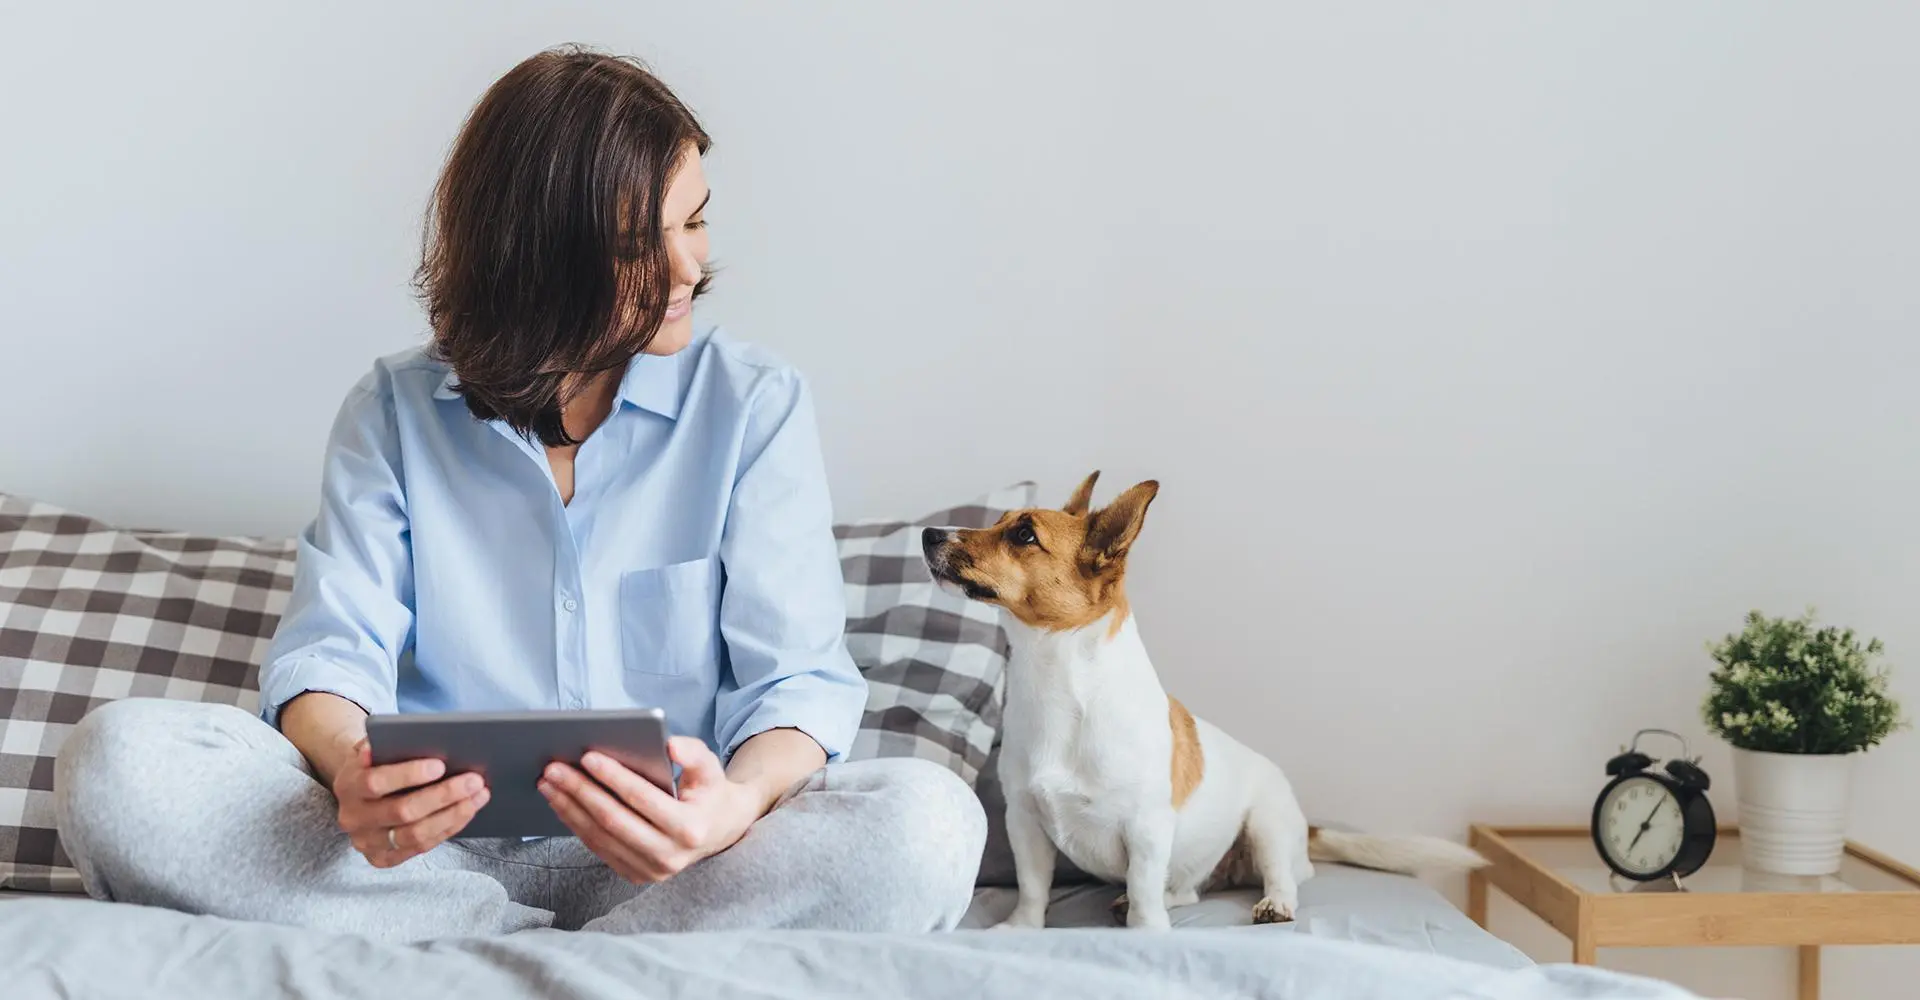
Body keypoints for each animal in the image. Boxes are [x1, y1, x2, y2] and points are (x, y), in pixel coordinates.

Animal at [921, 474, 1489, 928]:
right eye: (999, 522)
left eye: (1023, 534)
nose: (929, 534)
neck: (1058, 682)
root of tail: (1305, 825)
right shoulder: (1024, 822)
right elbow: (1034, 888)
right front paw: (1021, 928)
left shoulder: (1146, 829)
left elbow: (1145, 890)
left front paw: (1146, 933)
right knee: (1186, 890)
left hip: (1267, 825)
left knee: (1280, 878)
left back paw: (1272, 905)